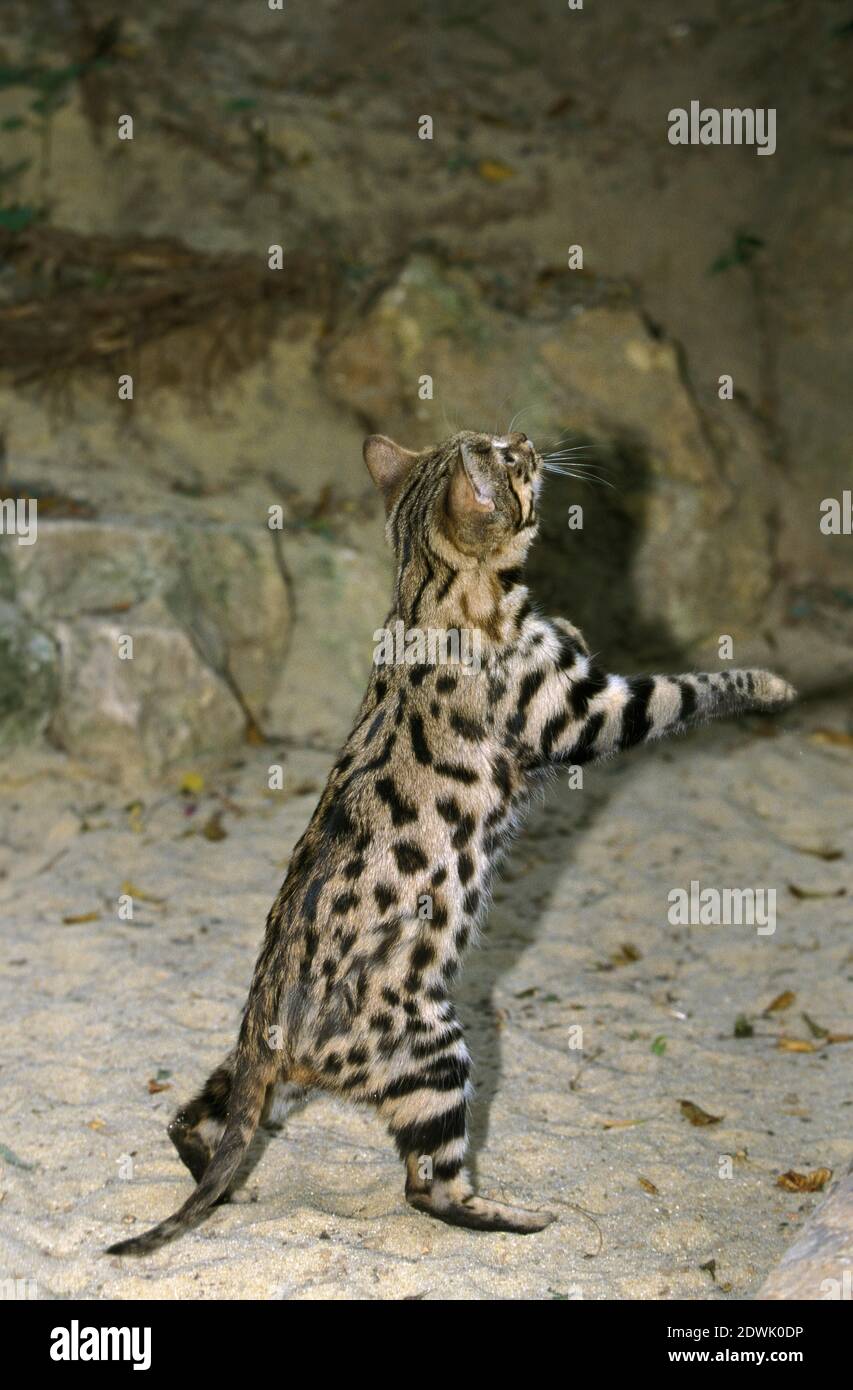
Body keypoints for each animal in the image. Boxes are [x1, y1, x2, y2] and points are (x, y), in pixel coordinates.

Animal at [108, 428, 800, 1256]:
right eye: (507, 457)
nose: (528, 438)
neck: (423, 587)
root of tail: (272, 1029)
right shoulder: (586, 712)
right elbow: (687, 688)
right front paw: (769, 684)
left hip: (257, 1072)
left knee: (189, 1119)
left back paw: (227, 1189)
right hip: (435, 1053)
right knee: (426, 1186)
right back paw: (515, 1217)